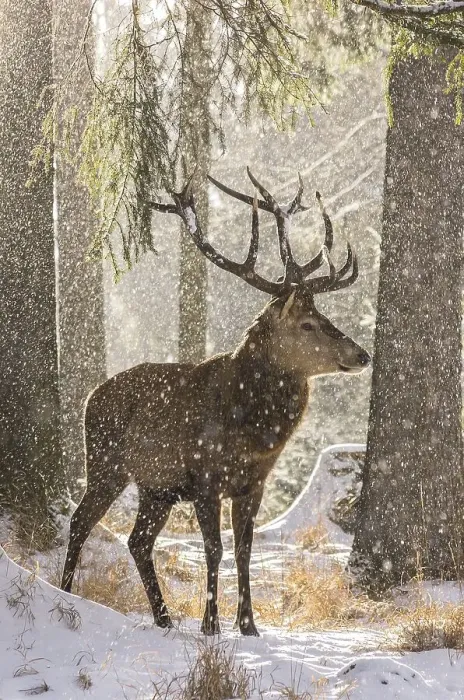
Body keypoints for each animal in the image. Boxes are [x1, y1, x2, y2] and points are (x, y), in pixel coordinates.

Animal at [61, 168, 371, 637]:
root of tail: (89, 397)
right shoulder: (205, 478)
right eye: (307, 323)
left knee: (138, 540)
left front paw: (249, 625)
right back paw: (65, 592)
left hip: (157, 487)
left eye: (326, 316)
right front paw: (211, 625)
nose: (362, 355)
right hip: (105, 463)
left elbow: (244, 550)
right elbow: (214, 549)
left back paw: (164, 617)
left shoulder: (252, 484)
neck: (253, 435)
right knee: (81, 521)